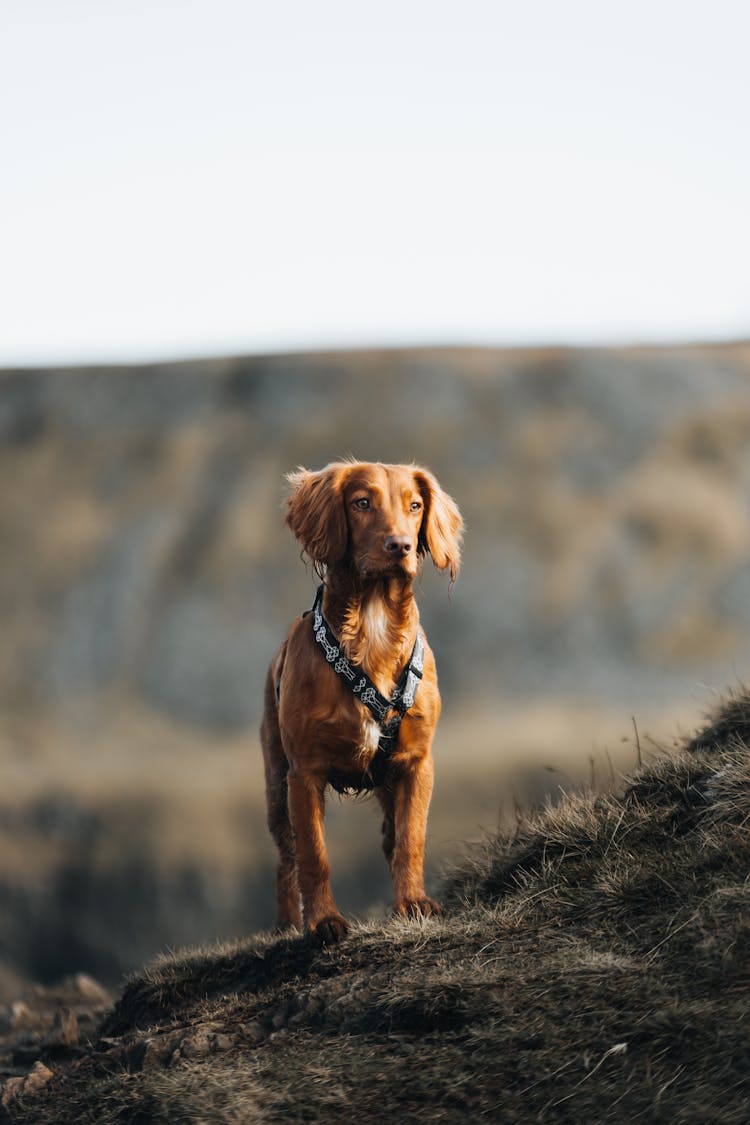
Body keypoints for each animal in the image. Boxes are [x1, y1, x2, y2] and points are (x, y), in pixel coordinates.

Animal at [263, 456, 463, 940]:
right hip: (276, 783)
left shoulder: (417, 762)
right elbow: (313, 855)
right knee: (285, 859)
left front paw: (412, 903)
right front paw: (323, 921)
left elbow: (410, 839)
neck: (373, 626)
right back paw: (285, 926)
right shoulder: (304, 772)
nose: (400, 546)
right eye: (361, 503)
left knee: (391, 837)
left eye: (414, 505)